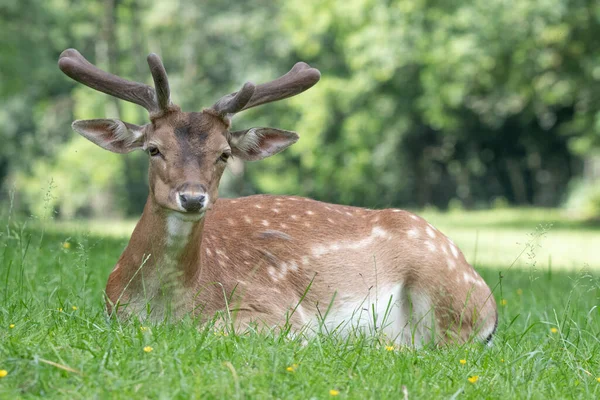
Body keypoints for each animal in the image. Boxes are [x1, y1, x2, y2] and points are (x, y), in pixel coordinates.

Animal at [58, 48, 496, 346]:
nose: (193, 198)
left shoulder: (278, 310)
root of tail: (491, 305)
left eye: (224, 153)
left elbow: (219, 328)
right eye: (153, 148)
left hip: (446, 288)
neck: (166, 308)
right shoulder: (110, 310)